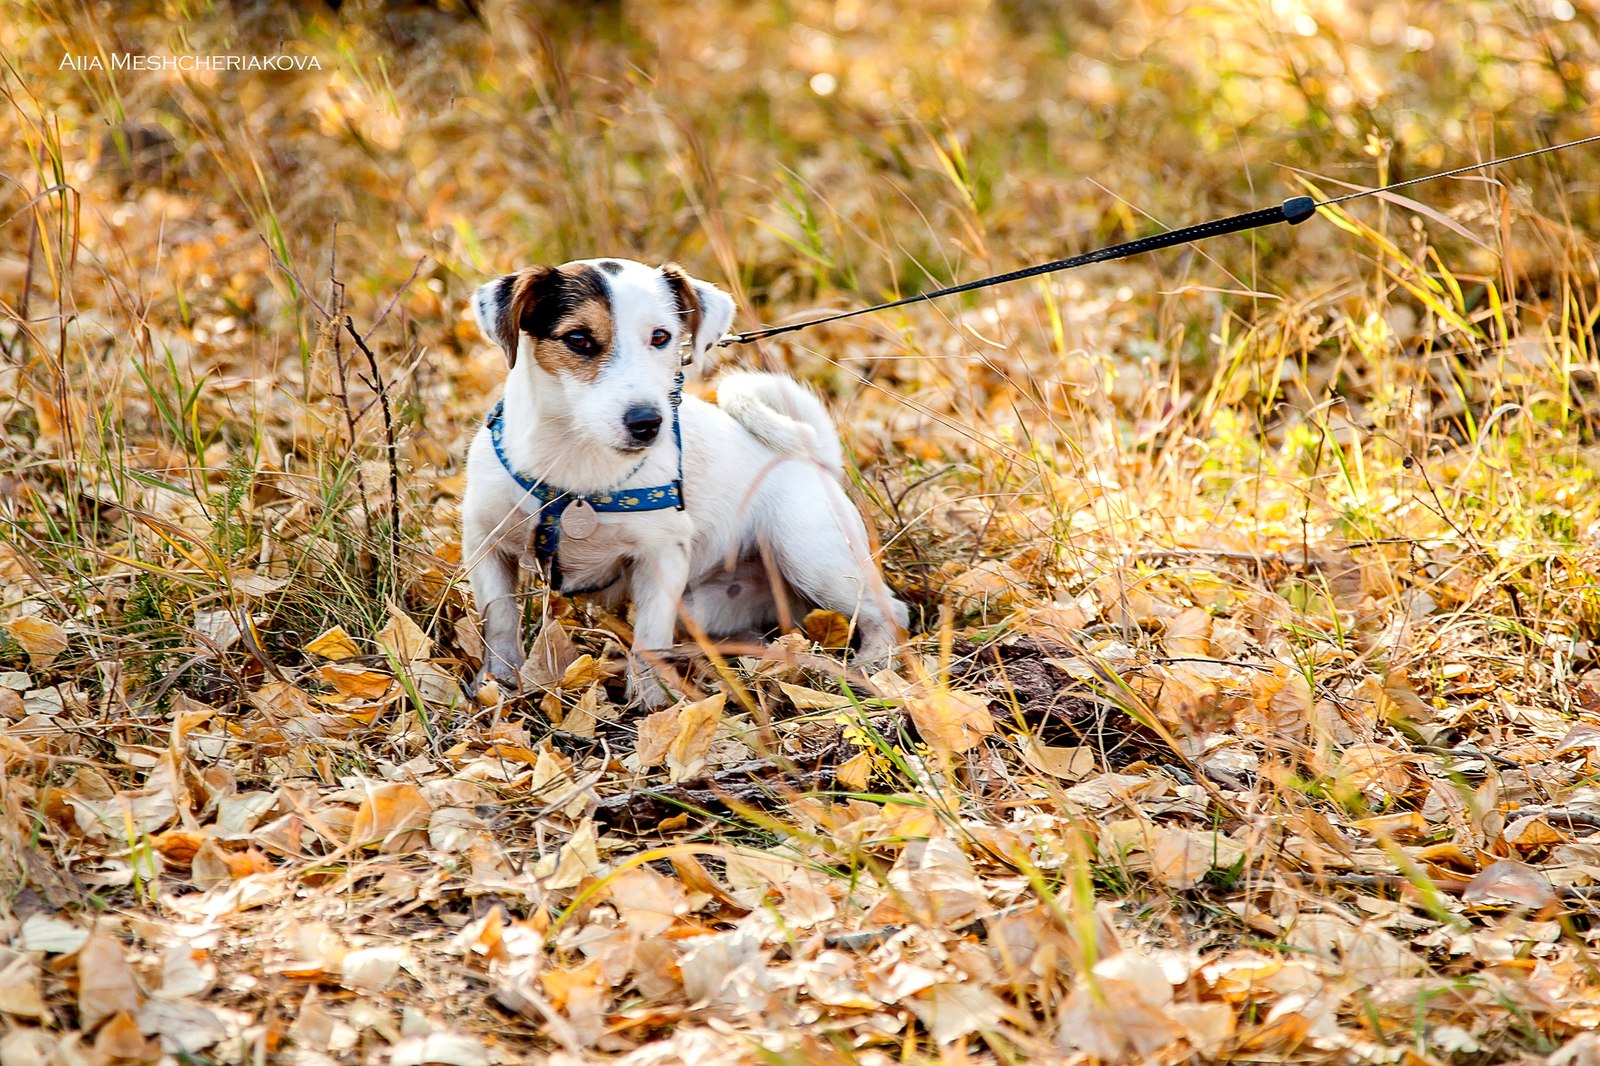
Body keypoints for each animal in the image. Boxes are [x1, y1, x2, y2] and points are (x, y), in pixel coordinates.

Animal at [464, 257, 915, 704]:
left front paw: (651, 704)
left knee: (892, 613)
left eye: (661, 337)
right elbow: (499, 619)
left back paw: (872, 666)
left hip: (812, 558)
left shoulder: (662, 555)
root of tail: (813, 460)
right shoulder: (484, 543)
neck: (577, 466)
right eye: (578, 338)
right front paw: (498, 684)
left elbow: (649, 639)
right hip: (704, 606)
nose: (647, 422)